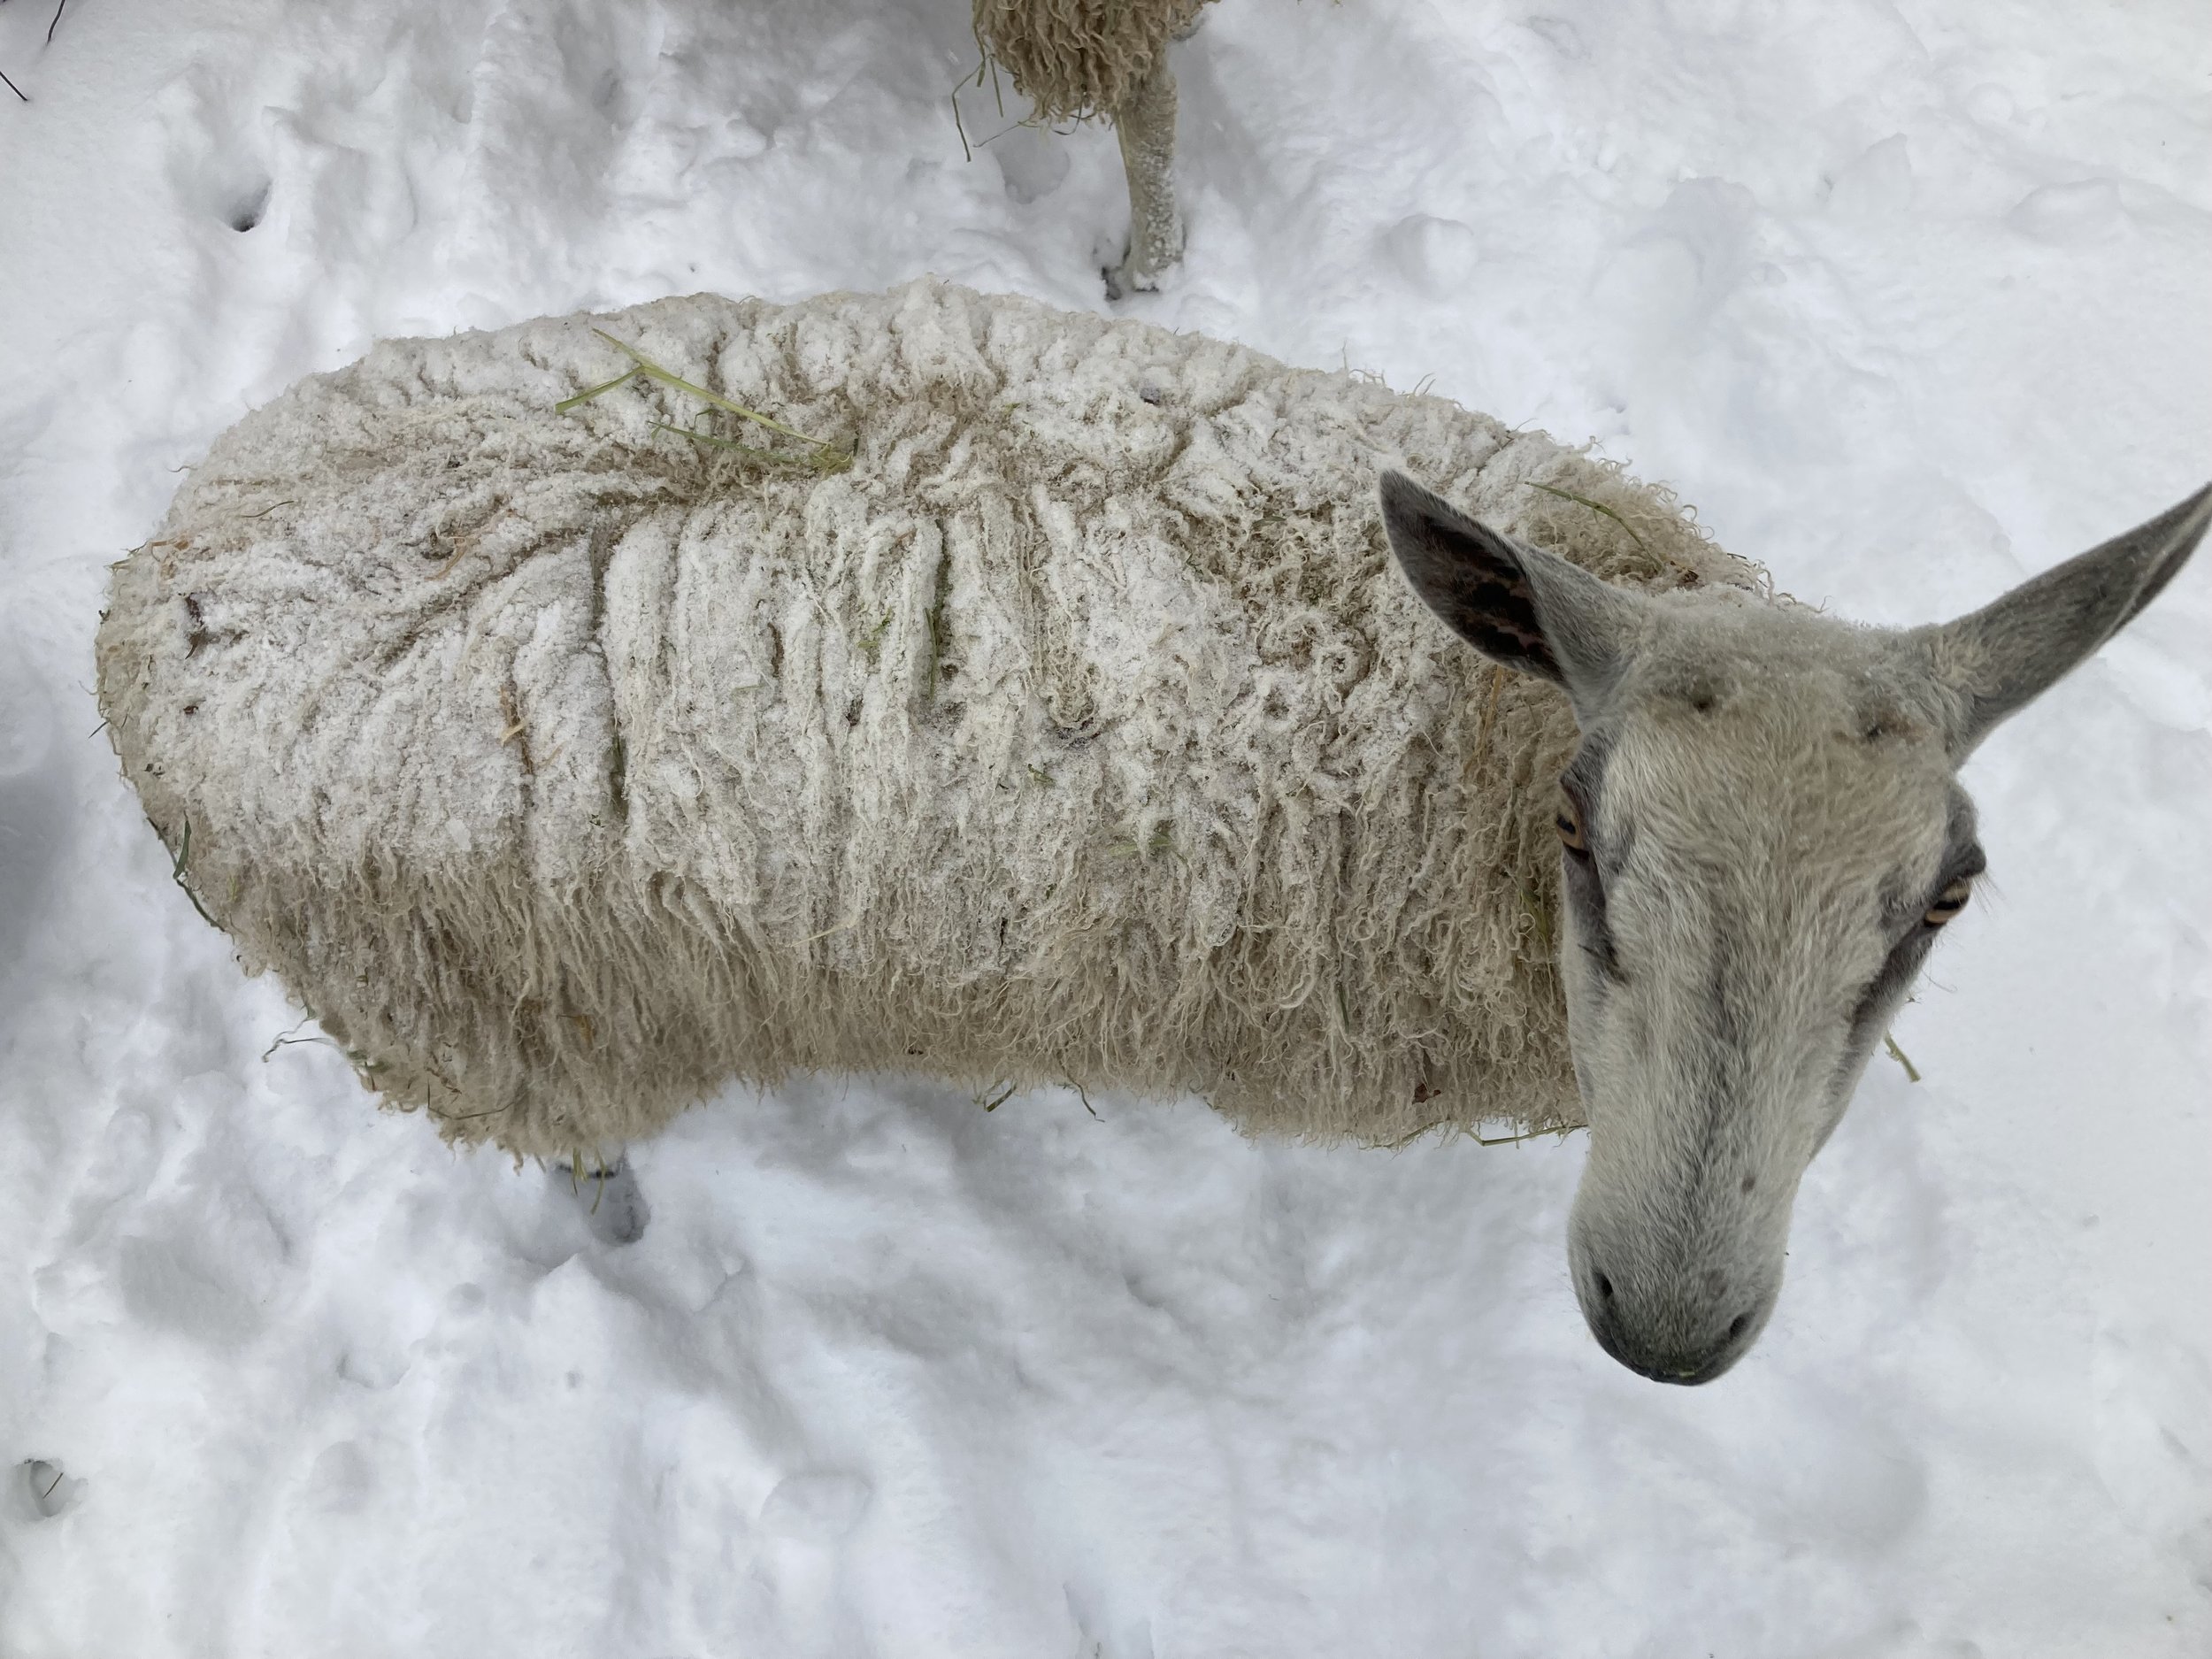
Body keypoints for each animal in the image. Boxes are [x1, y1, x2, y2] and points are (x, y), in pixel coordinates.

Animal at [95, 280, 2203, 1380]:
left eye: (1942, 902)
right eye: (1584, 845)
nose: (1668, 1329)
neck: (1464, 728)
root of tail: (160, 582)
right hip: (507, 1021)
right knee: (572, 1146)